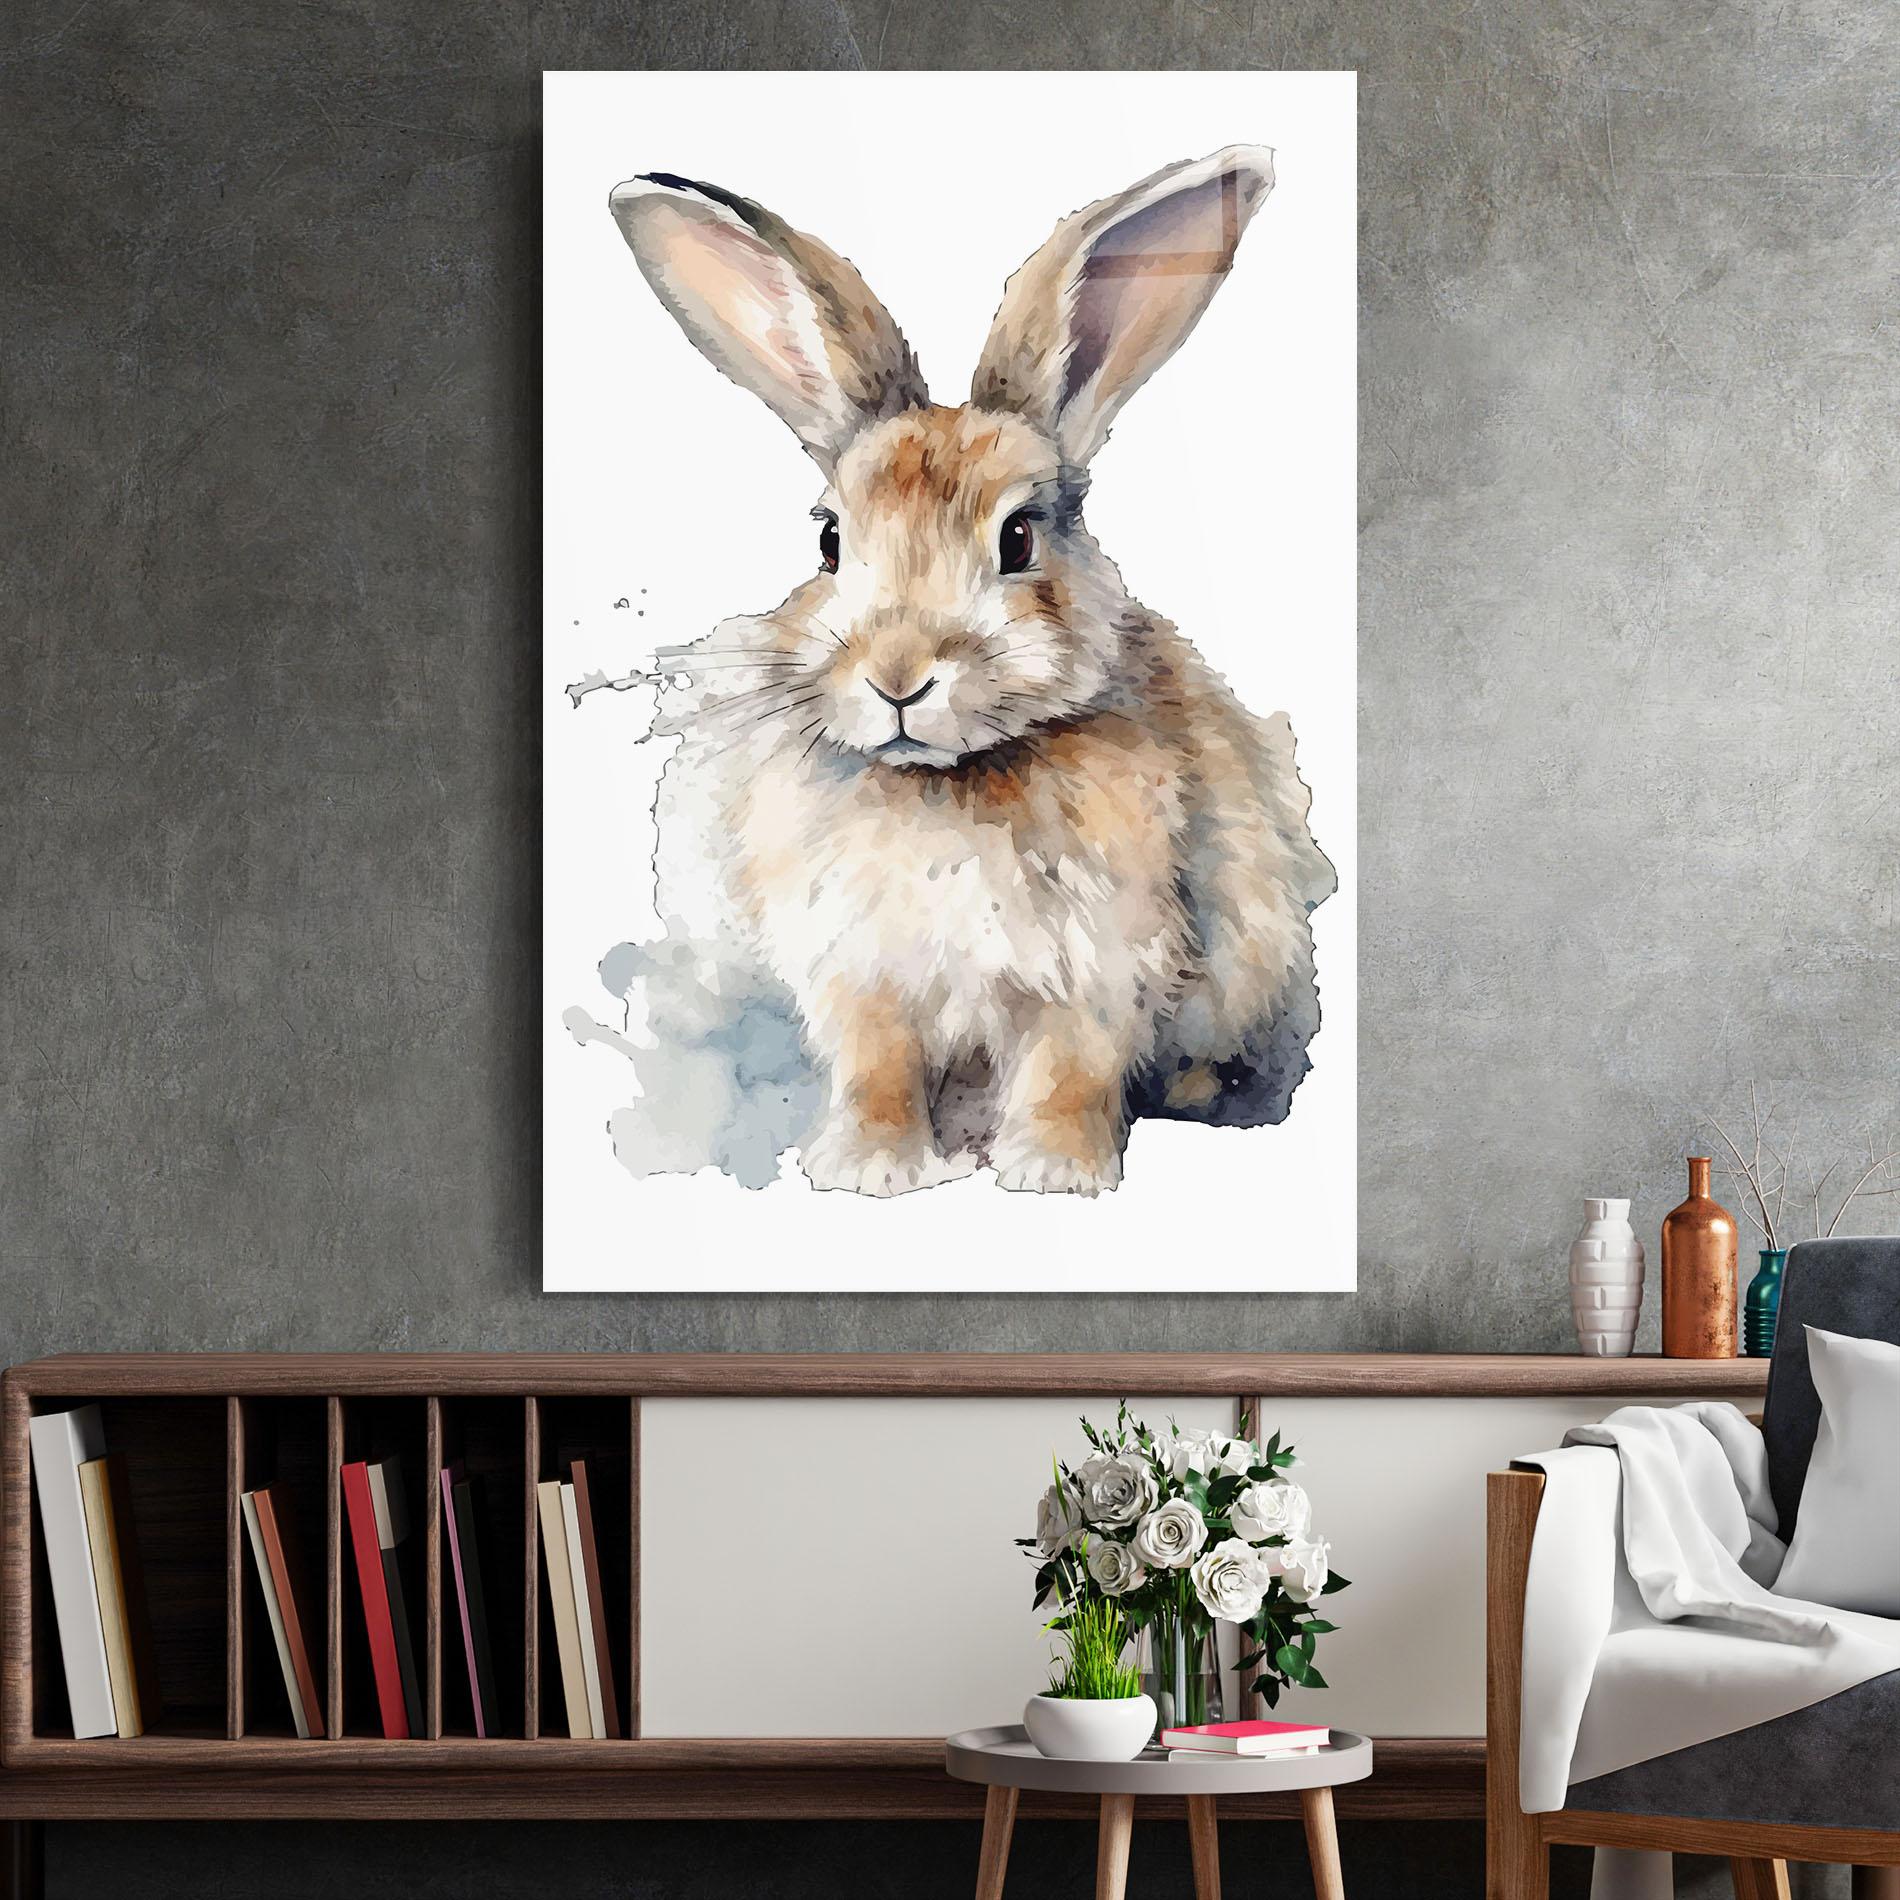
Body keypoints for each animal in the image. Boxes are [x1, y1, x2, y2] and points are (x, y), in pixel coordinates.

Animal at [608, 147, 1336, 1197]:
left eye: (1019, 537)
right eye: (830, 541)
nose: (899, 677)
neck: (945, 781)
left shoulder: (1099, 970)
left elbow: (1069, 1071)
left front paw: (1056, 1176)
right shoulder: (864, 975)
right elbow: (878, 1068)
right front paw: (867, 1170)